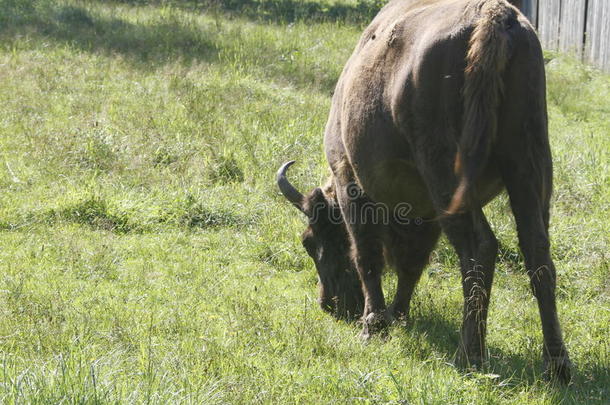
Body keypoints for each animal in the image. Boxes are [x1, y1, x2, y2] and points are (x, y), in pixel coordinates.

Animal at [276, 0, 568, 382]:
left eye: (309, 242)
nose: (330, 305)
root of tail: (493, 15)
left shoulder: (350, 181)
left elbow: (367, 254)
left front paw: (373, 326)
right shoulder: (424, 212)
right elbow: (411, 265)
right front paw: (398, 315)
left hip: (447, 175)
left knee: (479, 247)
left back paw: (469, 355)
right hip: (528, 165)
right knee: (537, 253)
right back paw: (557, 366)